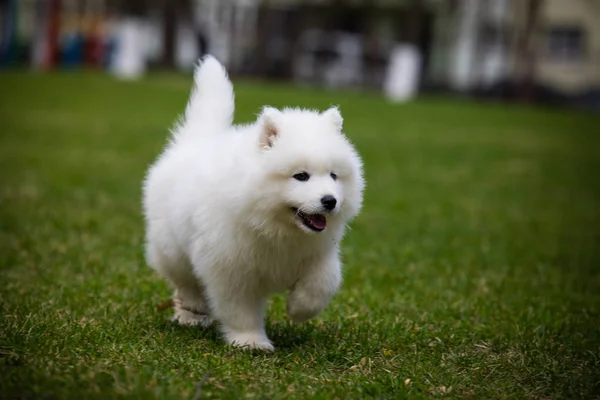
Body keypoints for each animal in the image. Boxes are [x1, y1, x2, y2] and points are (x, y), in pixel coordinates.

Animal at [143, 55, 364, 350]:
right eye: (301, 176)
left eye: (333, 175)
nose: (330, 201)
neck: (273, 226)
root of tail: (194, 141)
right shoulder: (229, 265)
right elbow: (240, 309)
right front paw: (250, 342)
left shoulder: (319, 252)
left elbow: (324, 281)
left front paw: (299, 308)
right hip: (171, 246)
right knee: (184, 281)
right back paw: (192, 311)